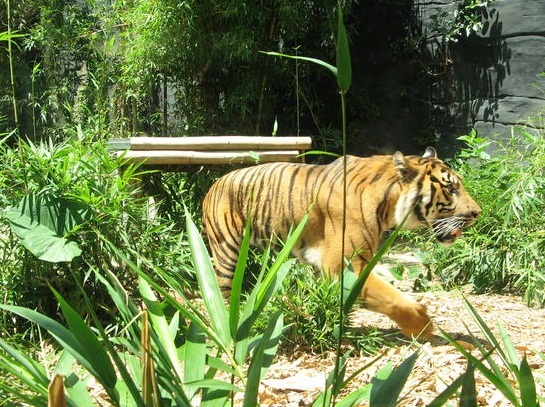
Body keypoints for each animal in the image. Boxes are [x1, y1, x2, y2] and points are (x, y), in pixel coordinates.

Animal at [201, 148, 480, 340]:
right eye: (451, 189)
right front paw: (423, 326)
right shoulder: (343, 266)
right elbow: (389, 297)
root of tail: (215, 183)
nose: (478, 213)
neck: (389, 205)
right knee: (222, 291)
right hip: (227, 251)